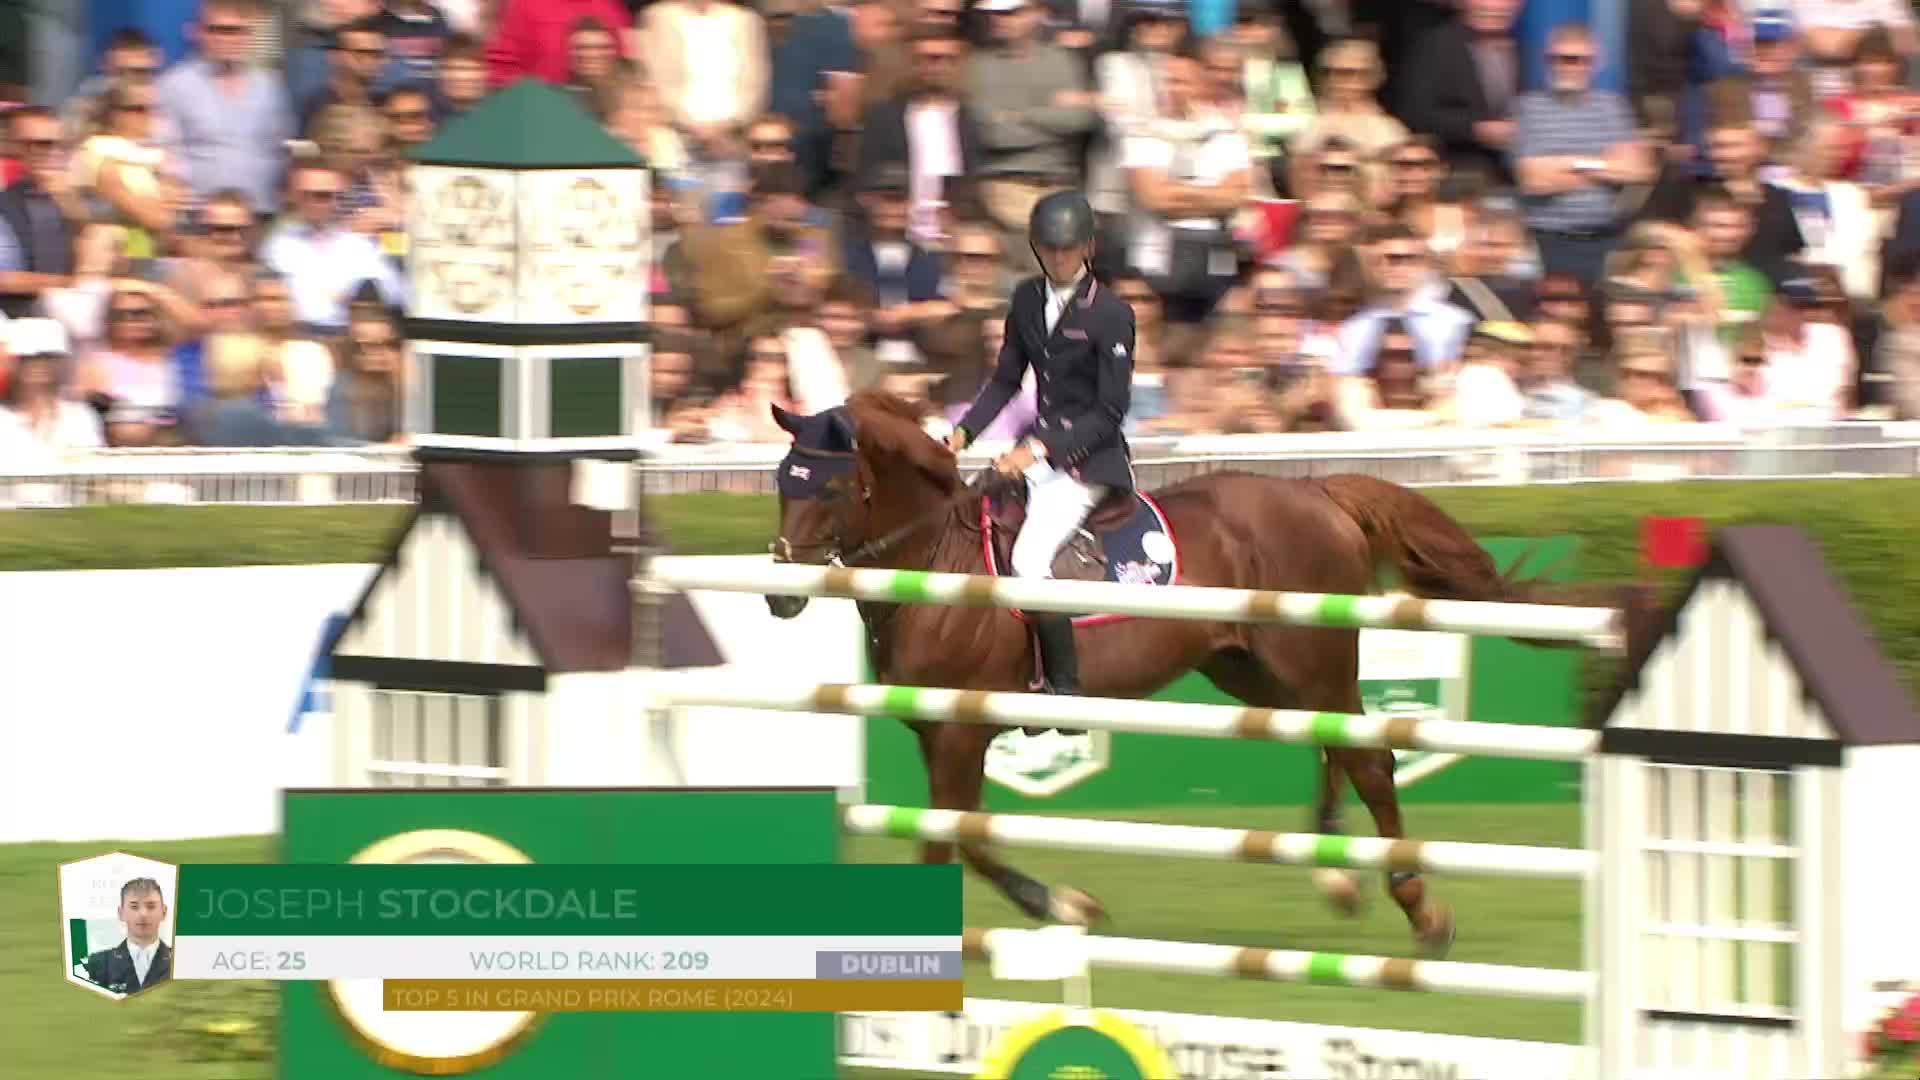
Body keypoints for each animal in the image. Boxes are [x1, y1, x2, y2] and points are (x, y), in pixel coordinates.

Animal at [764, 391, 1566, 956]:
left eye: (829, 490)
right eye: (780, 481)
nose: (779, 595)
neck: (936, 560)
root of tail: (1316, 491)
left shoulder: (962, 729)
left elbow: (952, 839)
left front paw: (1066, 906)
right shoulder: (936, 733)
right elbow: (969, 839)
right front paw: (1067, 906)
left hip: (1311, 658)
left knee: (1368, 758)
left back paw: (1418, 907)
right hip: (1249, 670)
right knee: (1334, 744)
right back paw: (1334, 871)